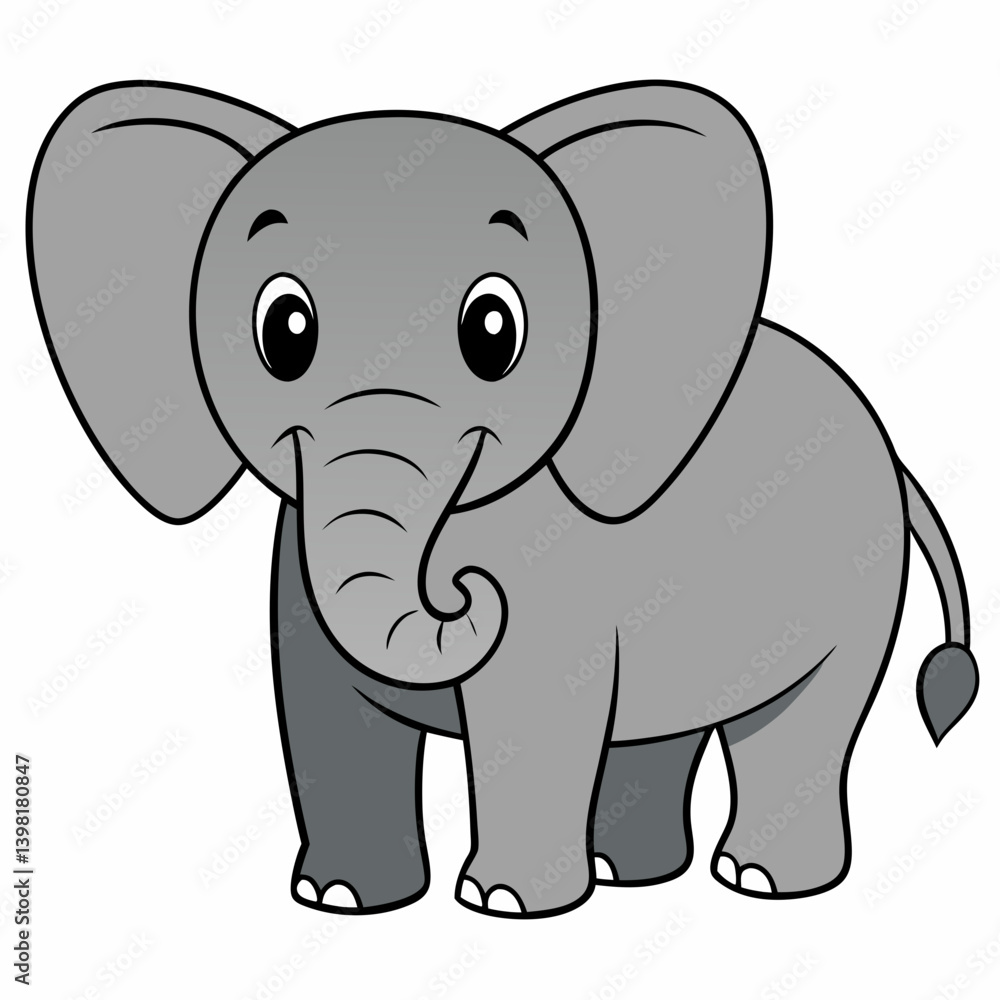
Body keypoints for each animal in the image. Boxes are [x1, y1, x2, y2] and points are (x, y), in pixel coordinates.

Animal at [28, 79, 979, 918]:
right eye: (283, 332)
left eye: (494, 332)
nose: (464, 589)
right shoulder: (295, 559)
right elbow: (327, 717)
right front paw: (342, 899)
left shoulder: (555, 579)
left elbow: (534, 714)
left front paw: (504, 905)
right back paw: (628, 874)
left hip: (857, 579)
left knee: (800, 725)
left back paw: (759, 882)